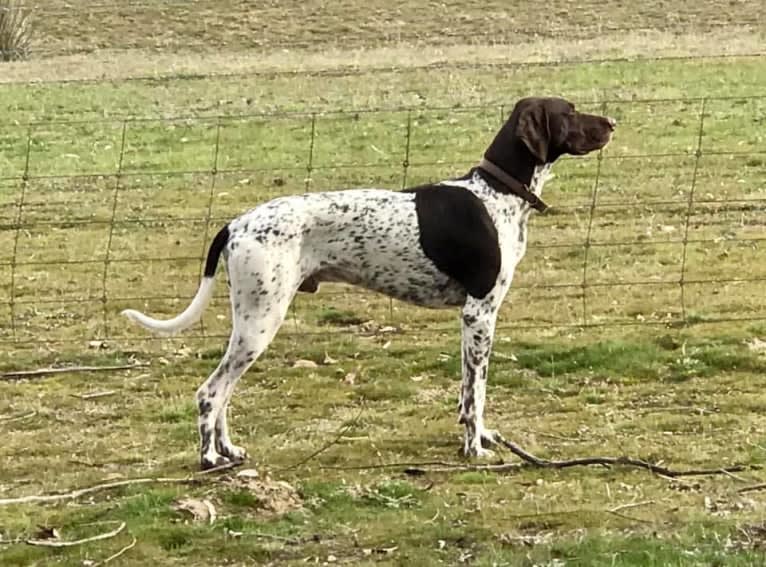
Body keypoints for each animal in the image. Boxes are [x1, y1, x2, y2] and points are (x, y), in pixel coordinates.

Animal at [126, 97, 616, 470]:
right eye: (569, 111)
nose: (612, 123)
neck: (498, 193)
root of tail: (236, 224)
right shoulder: (480, 314)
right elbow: (476, 392)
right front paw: (474, 447)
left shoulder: (471, 320)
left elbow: (466, 392)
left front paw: (477, 434)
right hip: (260, 321)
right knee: (211, 392)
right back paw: (209, 457)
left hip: (249, 321)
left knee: (225, 391)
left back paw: (228, 448)